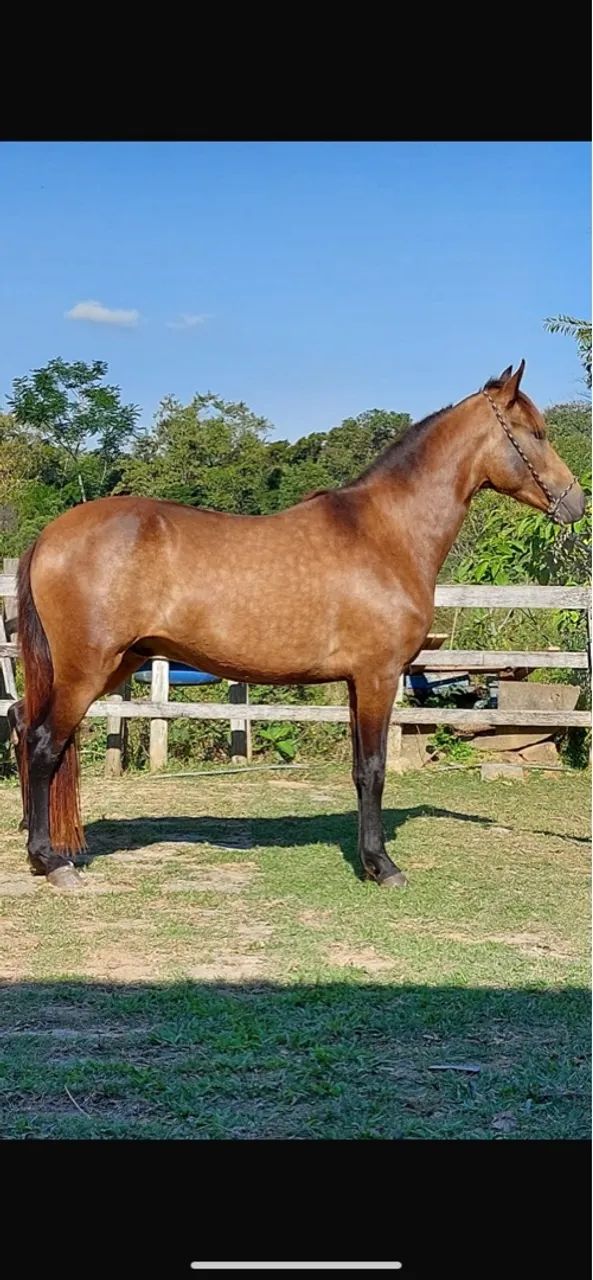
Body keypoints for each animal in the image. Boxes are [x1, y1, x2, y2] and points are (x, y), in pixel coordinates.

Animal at [8, 360, 585, 891]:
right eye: (536, 433)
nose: (575, 501)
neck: (386, 532)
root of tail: (50, 536)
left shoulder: (356, 683)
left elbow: (359, 769)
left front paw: (369, 859)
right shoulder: (378, 677)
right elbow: (374, 769)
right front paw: (382, 866)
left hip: (113, 664)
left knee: (23, 724)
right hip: (87, 670)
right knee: (42, 743)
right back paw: (50, 860)